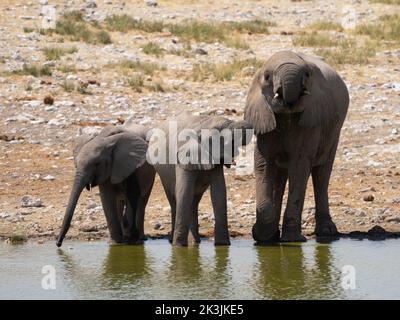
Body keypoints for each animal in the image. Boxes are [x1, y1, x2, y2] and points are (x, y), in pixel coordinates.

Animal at [148, 112, 252, 248]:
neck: (204, 124)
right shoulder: (184, 156)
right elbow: (184, 193)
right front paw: (179, 247)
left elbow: (219, 193)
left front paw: (223, 245)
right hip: (163, 174)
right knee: (175, 198)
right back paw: (175, 242)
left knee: (194, 201)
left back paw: (194, 242)